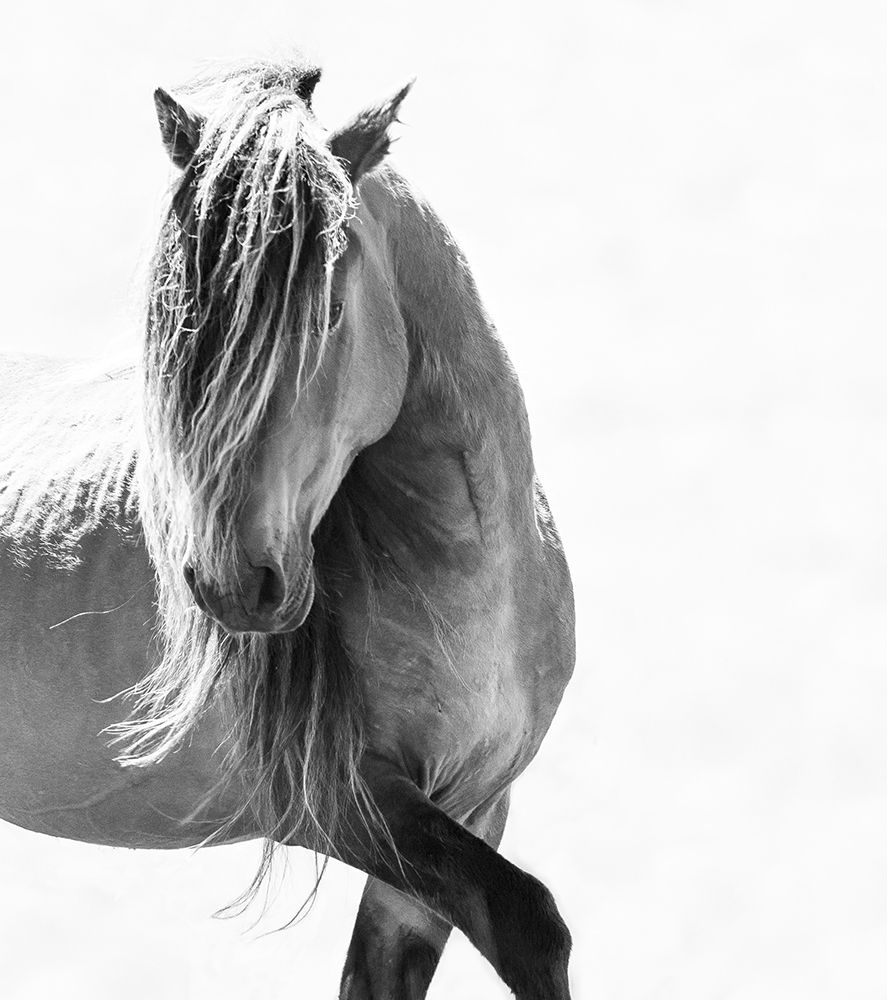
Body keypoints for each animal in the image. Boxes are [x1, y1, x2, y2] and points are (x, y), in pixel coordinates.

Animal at [0, 58, 575, 999]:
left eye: (327, 312)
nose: (233, 587)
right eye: (176, 326)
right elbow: (527, 917)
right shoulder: (342, 800)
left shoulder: (470, 808)